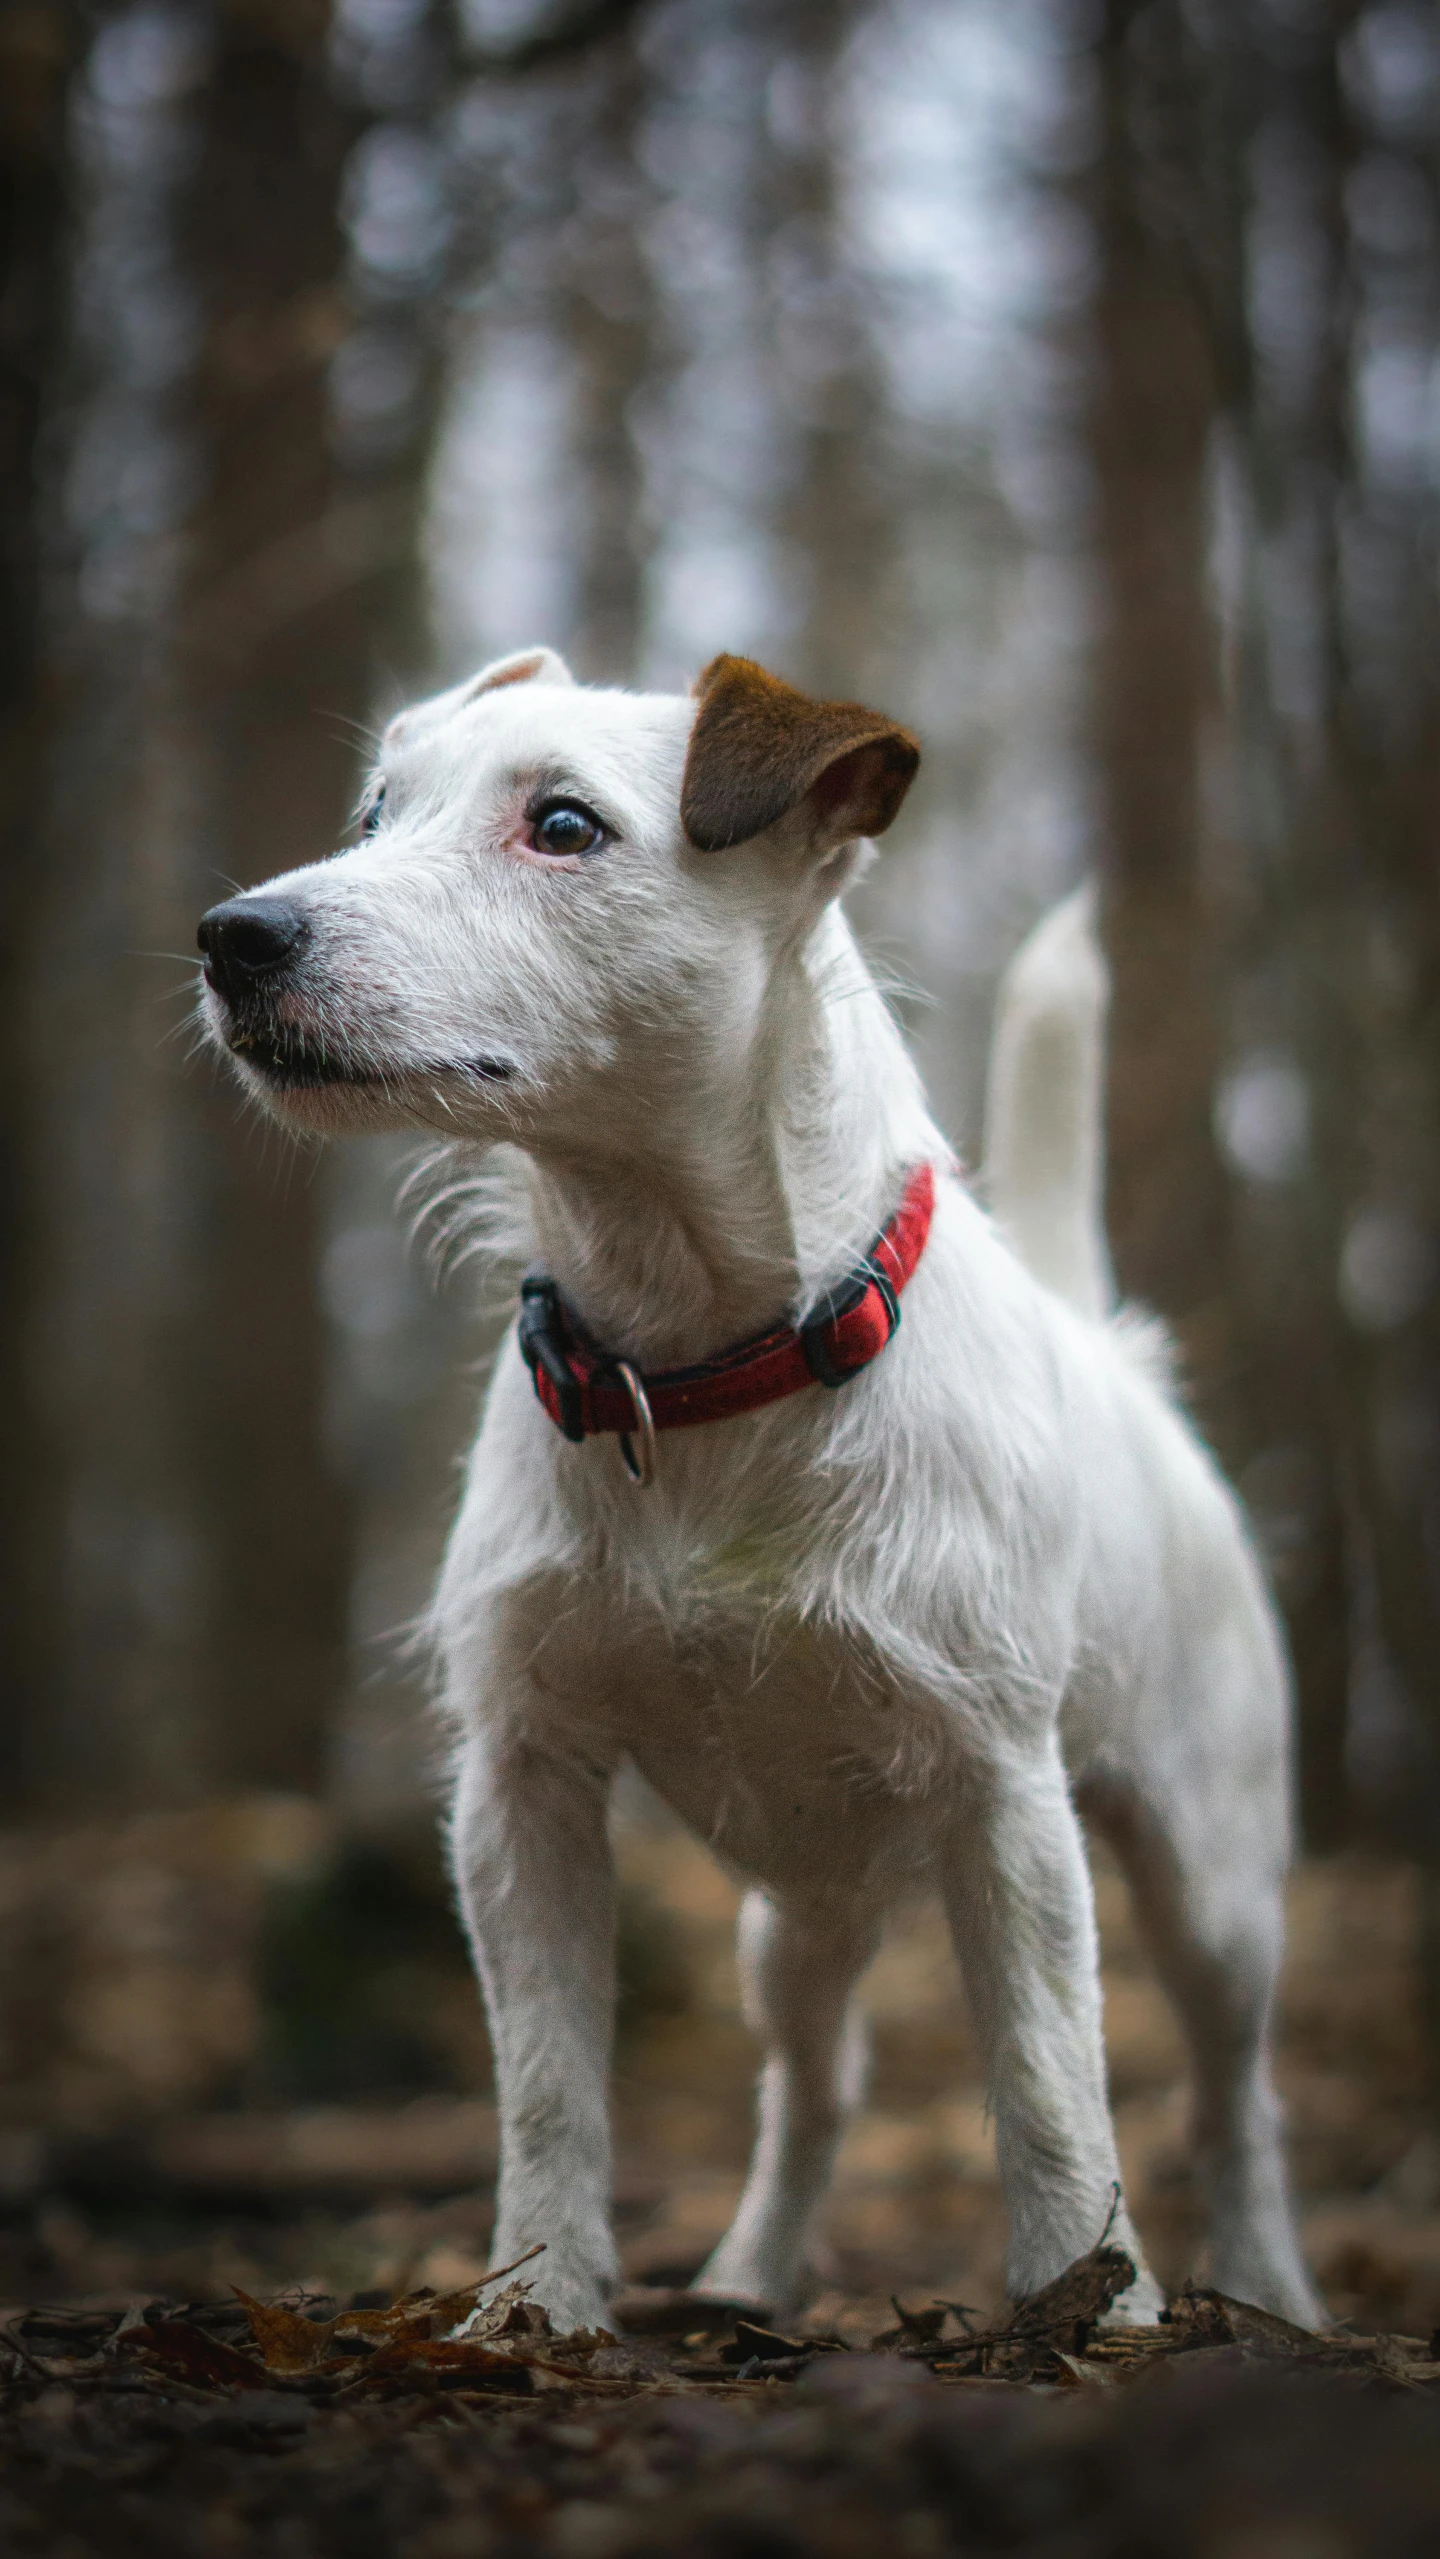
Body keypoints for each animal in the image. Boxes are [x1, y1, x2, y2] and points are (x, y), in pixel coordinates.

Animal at [196, 644, 1319, 2344]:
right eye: (376, 812)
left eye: (564, 824)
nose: (235, 934)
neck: (706, 1361)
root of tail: (1110, 1346)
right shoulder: (524, 1786)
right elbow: (549, 2087)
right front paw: (535, 2309)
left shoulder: (1006, 1799)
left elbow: (1052, 2080)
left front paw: (1091, 2305)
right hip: (790, 1920)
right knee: (814, 2082)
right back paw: (749, 2275)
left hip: (1213, 1880)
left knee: (1235, 2091)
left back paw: (1266, 2283)